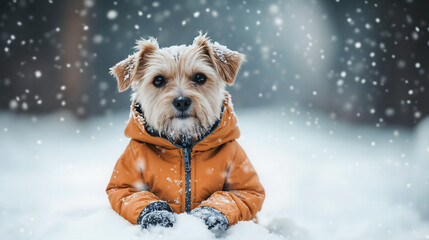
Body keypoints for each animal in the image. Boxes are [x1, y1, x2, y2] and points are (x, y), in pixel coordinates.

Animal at [105, 32, 262, 233]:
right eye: (158, 80)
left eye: (200, 77)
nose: (181, 101)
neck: (184, 142)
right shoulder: (129, 168)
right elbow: (127, 192)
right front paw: (157, 215)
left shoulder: (239, 166)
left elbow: (241, 193)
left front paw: (208, 215)